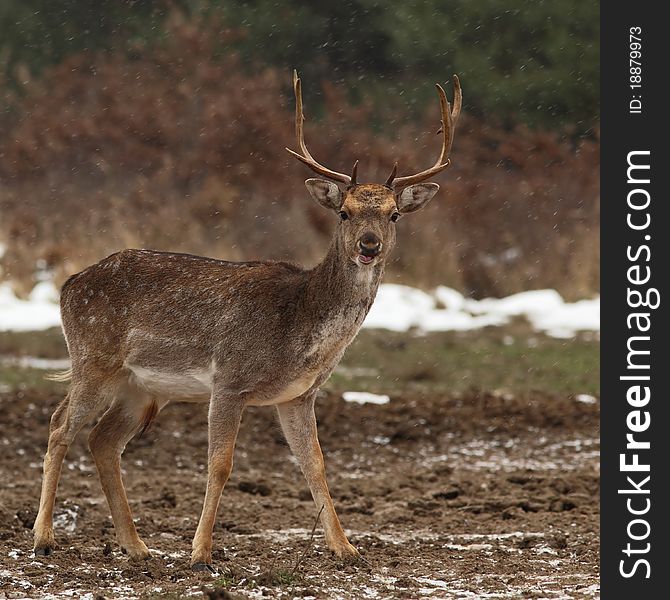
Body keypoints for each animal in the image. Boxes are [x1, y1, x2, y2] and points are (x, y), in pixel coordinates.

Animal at [32, 70, 462, 568]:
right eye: (344, 212)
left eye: (393, 215)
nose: (368, 245)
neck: (300, 331)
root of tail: (69, 285)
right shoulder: (230, 379)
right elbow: (221, 464)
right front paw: (201, 552)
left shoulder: (299, 396)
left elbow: (316, 464)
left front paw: (346, 547)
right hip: (93, 359)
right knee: (60, 425)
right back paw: (44, 537)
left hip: (141, 386)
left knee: (102, 440)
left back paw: (136, 545)